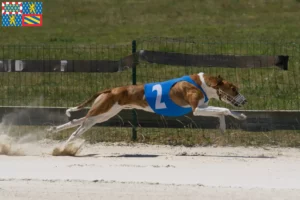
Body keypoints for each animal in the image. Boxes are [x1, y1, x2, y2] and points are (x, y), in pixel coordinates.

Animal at [48, 72, 247, 145]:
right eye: (234, 89)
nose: (244, 101)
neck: (203, 83)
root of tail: (110, 89)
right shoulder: (197, 109)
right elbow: (224, 110)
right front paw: (239, 116)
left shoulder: (204, 106)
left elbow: (221, 113)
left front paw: (226, 126)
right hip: (102, 110)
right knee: (78, 127)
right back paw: (65, 144)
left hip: (104, 114)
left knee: (78, 121)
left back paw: (54, 130)